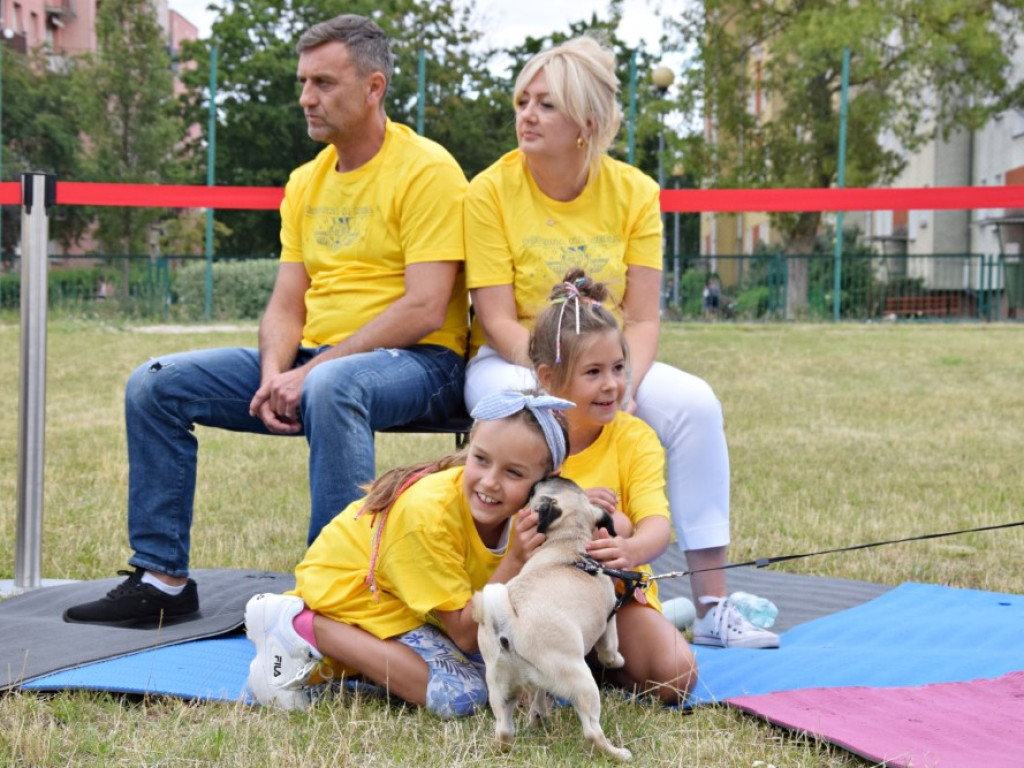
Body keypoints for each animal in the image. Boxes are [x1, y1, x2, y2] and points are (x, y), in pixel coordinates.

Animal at [471, 479, 630, 761]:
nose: (540, 479)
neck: (567, 543)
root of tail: (510, 625)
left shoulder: (537, 682)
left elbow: (537, 696)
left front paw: (538, 717)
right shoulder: (609, 620)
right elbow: (609, 650)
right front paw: (617, 661)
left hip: (500, 687)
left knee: (504, 730)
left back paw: (505, 746)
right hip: (583, 684)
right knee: (592, 731)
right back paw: (617, 753)